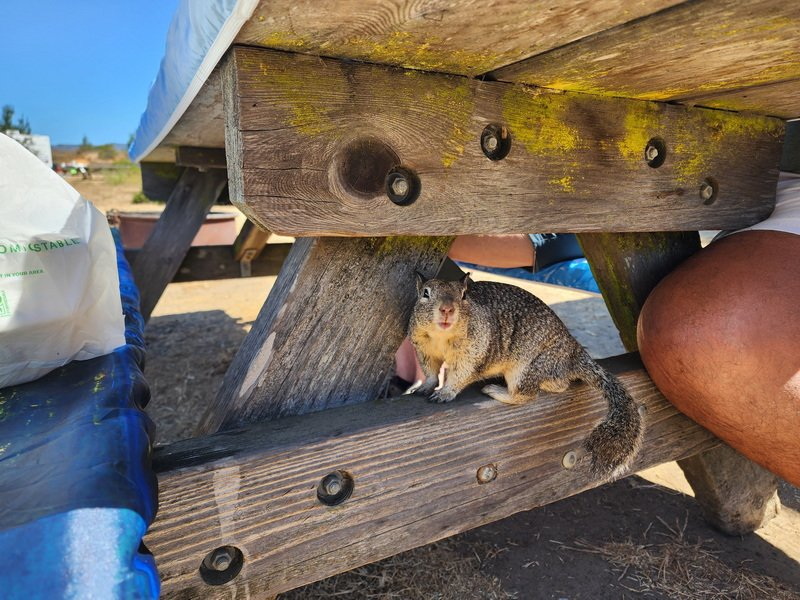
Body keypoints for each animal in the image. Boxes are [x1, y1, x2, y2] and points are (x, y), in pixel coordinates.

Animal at [407, 272, 644, 479]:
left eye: (464, 295)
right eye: (425, 293)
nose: (447, 309)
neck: (442, 336)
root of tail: (573, 352)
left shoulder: (472, 354)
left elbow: (459, 376)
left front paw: (445, 392)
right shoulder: (423, 350)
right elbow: (430, 372)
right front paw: (425, 386)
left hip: (524, 370)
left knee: (528, 395)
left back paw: (496, 391)